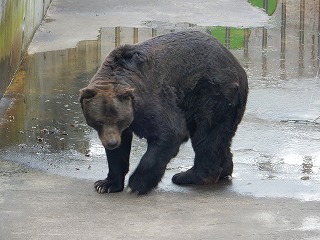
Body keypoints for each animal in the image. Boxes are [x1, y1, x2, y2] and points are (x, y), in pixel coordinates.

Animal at [79, 30, 248, 195]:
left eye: (119, 120)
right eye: (99, 121)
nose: (112, 142)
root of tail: (237, 65)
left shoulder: (150, 99)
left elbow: (169, 132)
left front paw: (136, 184)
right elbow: (119, 151)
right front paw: (106, 184)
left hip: (212, 93)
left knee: (207, 134)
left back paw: (188, 176)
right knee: (219, 138)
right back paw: (223, 169)